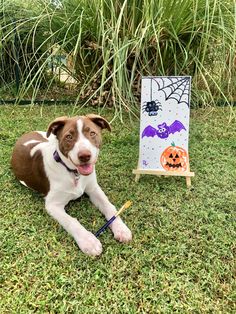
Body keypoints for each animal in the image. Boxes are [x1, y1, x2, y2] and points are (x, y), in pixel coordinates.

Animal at [11, 114, 132, 256]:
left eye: (92, 133)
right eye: (69, 137)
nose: (85, 156)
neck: (74, 173)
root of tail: (26, 134)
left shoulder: (94, 189)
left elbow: (109, 207)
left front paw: (121, 228)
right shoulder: (53, 205)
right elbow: (71, 221)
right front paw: (88, 241)